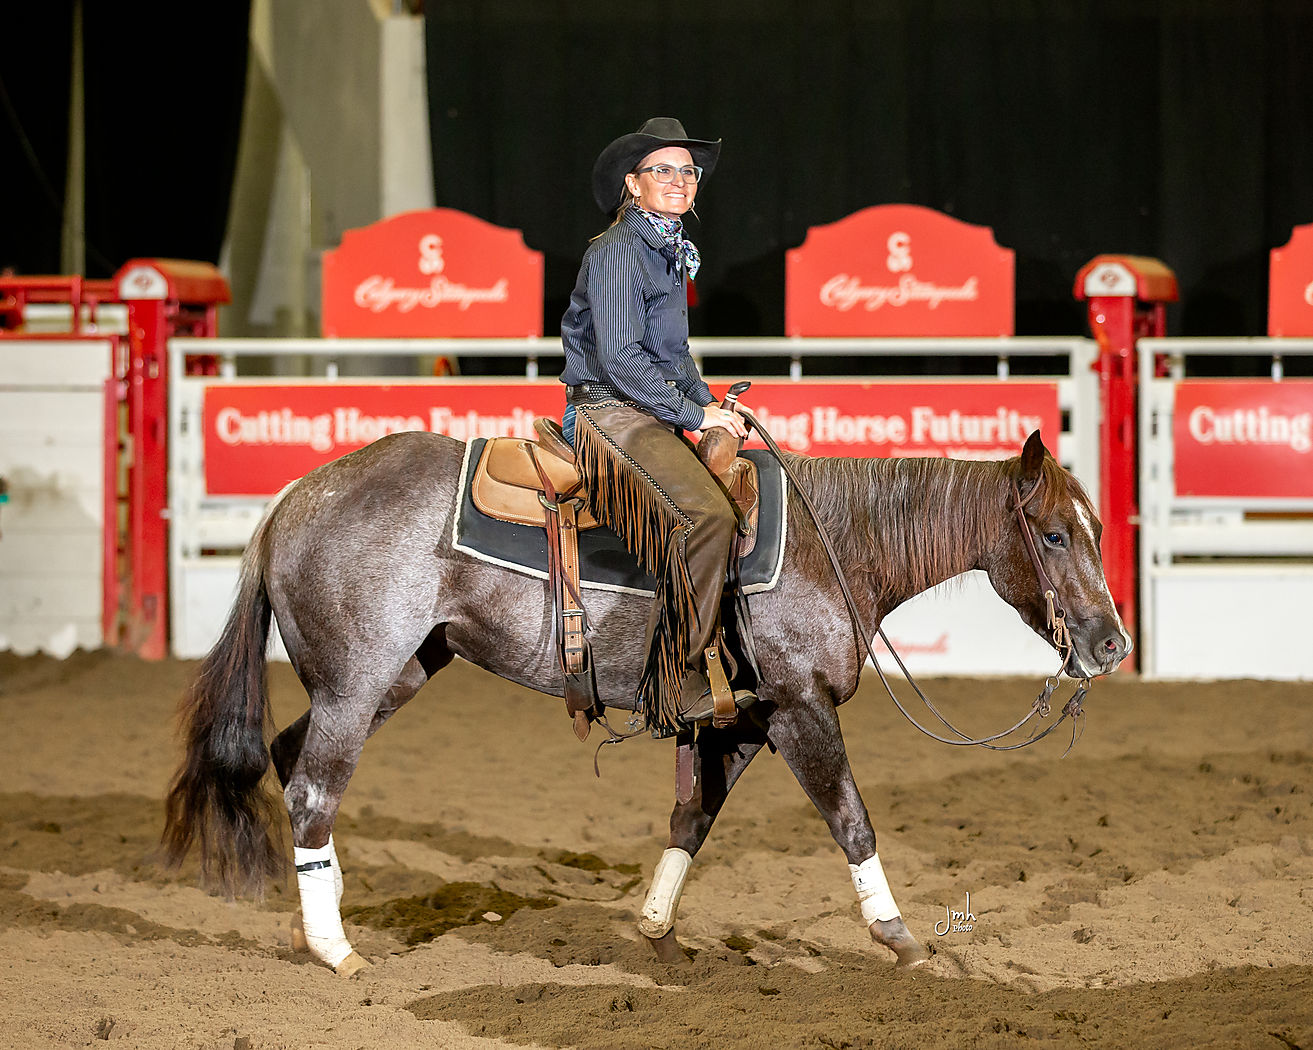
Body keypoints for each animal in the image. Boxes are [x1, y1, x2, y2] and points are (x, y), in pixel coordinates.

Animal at [162, 427, 1129, 976]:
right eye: (1052, 535)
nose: (1112, 644)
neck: (833, 545)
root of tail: (294, 498)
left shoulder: (740, 720)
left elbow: (690, 818)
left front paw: (658, 931)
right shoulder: (798, 707)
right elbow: (850, 818)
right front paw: (896, 936)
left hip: (391, 674)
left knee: (290, 761)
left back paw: (315, 923)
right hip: (359, 679)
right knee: (312, 791)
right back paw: (337, 951)